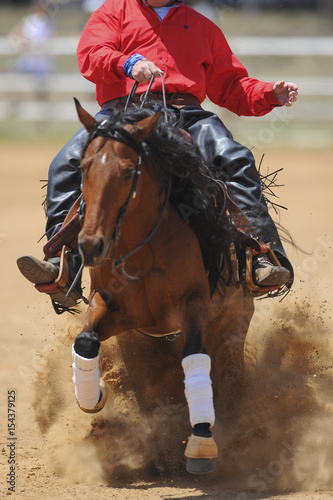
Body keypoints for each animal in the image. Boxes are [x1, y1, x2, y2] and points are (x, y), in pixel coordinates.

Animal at [69, 99, 252, 474]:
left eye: (128, 172)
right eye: (83, 167)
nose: (90, 245)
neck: (143, 247)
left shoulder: (194, 302)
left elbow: (194, 354)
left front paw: (201, 441)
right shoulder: (117, 309)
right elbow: (86, 339)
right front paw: (92, 396)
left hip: (234, 323)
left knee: (228, 375)